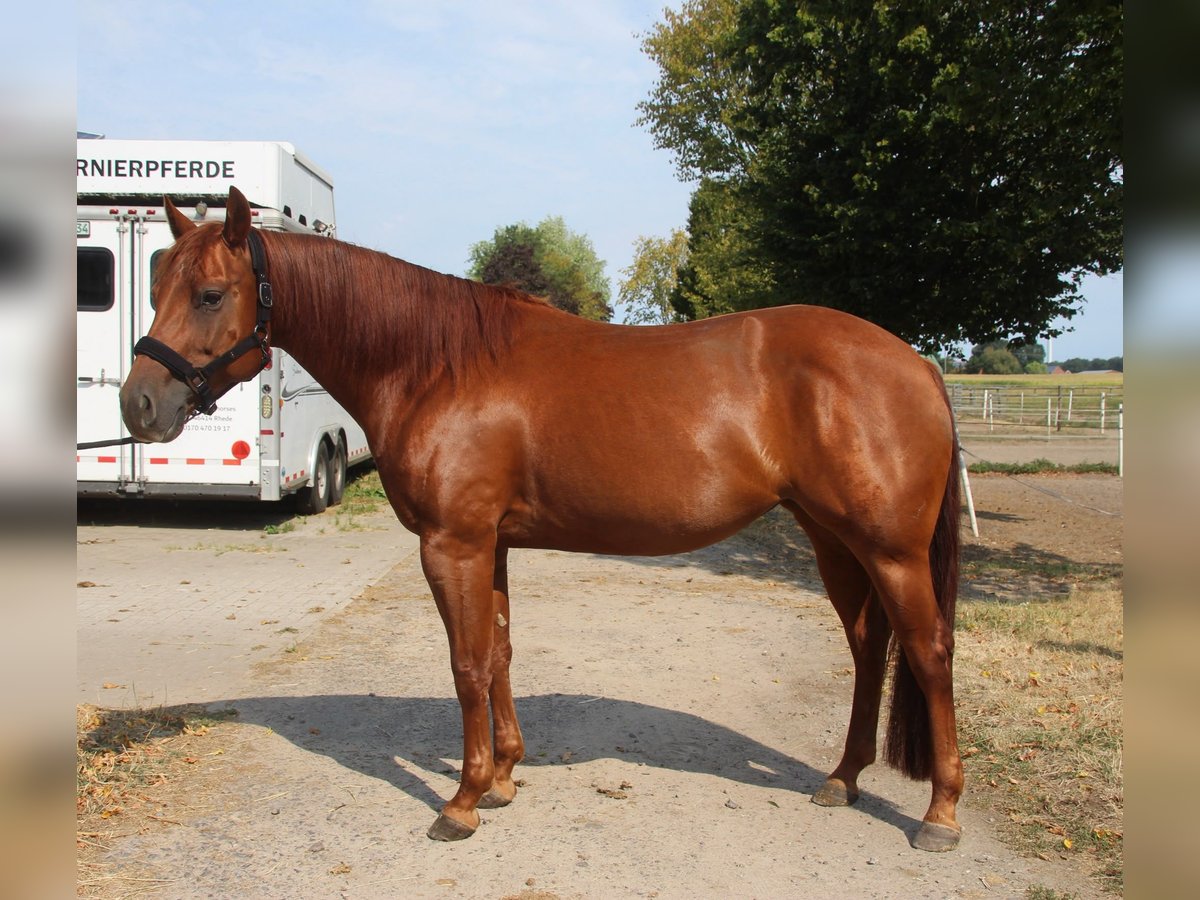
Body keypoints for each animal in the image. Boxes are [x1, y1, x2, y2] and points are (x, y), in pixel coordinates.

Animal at [119, 187, 964, 852]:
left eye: (210, 294)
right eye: (159, 285)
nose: (139, 405)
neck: (436, 364)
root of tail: (918, 363)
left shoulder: (451, 545)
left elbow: (464, 666)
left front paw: (460, 803)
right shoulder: (488, 545)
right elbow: (498, 653)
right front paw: (501, 780)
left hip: (889, 549)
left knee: (926, 651)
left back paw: (940, 813)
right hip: (832, 540)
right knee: (869, 646)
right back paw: (843, 779)